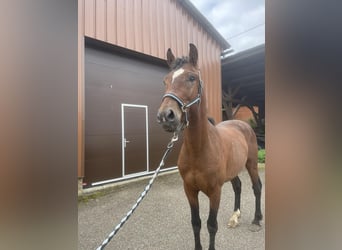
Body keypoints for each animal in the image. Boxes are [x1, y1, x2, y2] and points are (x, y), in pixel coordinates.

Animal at [156, 44, 264, 249]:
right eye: (165, 80)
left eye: (192, 78)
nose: (166, 116)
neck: (199, 149)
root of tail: (243, 125)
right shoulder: (189, 190)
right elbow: (196, 223)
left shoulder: (215, 192)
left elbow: (211, 225)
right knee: (238, 186)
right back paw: (235, 216)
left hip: (252, 163)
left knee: (256, 187)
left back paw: (256, 219)